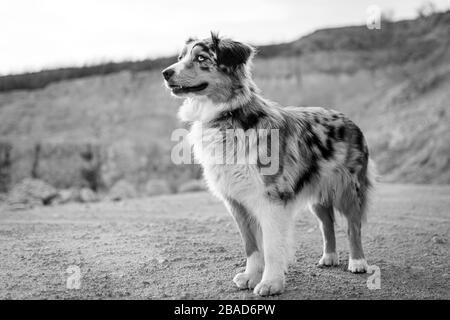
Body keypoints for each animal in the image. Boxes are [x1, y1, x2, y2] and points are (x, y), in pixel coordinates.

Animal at [163, 33, 374, 298]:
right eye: (180, 57)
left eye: (201, 58)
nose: (165, 72)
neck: (228, 117)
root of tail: (348, 118)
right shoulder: (237, 201)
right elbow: (252, 246)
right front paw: (251, 276)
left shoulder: (272, 198)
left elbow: (272, 246)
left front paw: (271, 282)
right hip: (317, 193)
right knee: (327, 224)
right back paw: (329, 257)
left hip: (347, 188)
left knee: (353, 225)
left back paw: (357, 262)